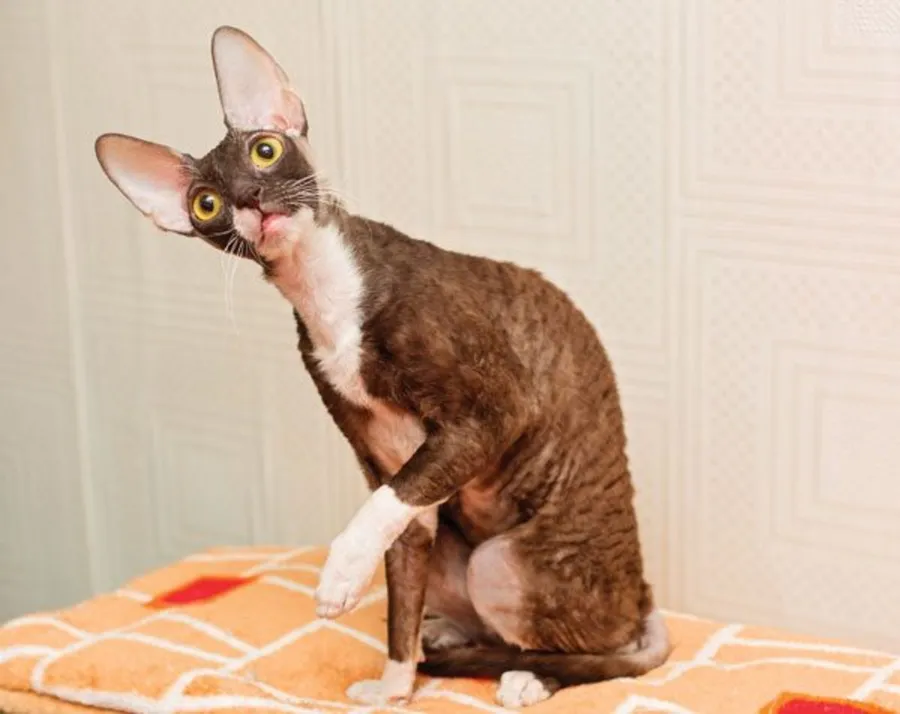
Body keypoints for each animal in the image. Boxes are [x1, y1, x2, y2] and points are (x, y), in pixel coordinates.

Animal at [94, 26, 670, 709]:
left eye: (265, 151)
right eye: (207, 204)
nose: (249, 199)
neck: (325, 294)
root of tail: (643, 593)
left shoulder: (493, 413)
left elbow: (382, 507)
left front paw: (341, 573)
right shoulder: (394, 460)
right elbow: (399, 576)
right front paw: (395, 686)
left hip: (501, 564)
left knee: (614, 651)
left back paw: (530, 674)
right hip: (456, 554)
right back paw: (447, 636)